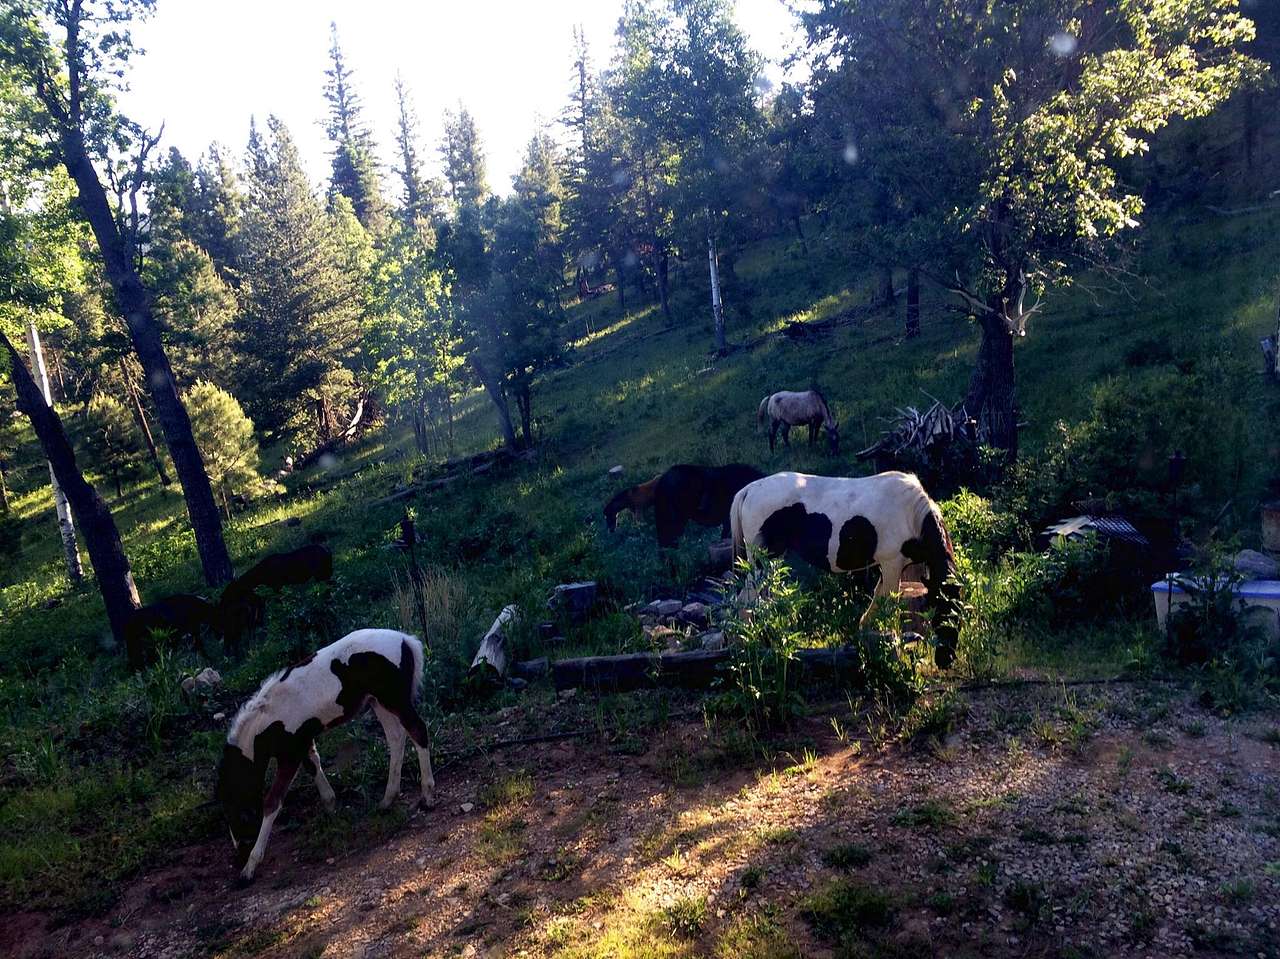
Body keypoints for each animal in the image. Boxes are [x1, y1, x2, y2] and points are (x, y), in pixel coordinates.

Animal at [217, 629, 435, 883]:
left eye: (239, 813)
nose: (239, 854)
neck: (268, 718)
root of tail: (405, 639)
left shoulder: (290, 756)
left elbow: (272, 801)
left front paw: (250, 866)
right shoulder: (302, 745)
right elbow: (314, 766)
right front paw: (332, 810)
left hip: (394, 699)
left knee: (418, 731)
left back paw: (427, 796)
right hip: (378, 702)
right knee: (396, 738)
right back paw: (387, 800)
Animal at [730, 470, 960, 667]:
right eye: (942, 608)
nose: (946, 660)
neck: (911, 514)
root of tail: (749, 489)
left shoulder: (892, 568)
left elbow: (878, 597)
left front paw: (867, 629)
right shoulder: (892, 563)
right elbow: (889, 602)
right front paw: (891, 639)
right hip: (761, 563)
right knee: (746, 602)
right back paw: (748, 645)